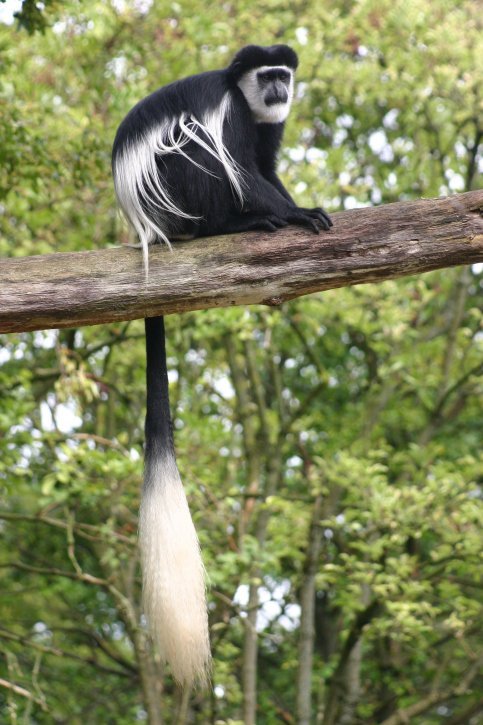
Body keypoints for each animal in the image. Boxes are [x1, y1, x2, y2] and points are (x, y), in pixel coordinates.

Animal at [112, 44, 332, 687]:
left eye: (284, 76)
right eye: (268, 75)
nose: (280, 88)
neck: (251, 100)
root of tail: (146, 227)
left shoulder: (269, 123)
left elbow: (266, 162)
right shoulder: (229, 109)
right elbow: (241, 167)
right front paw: (297, 213)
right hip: (175, 189)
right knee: (197, 153)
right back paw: (243, 223)